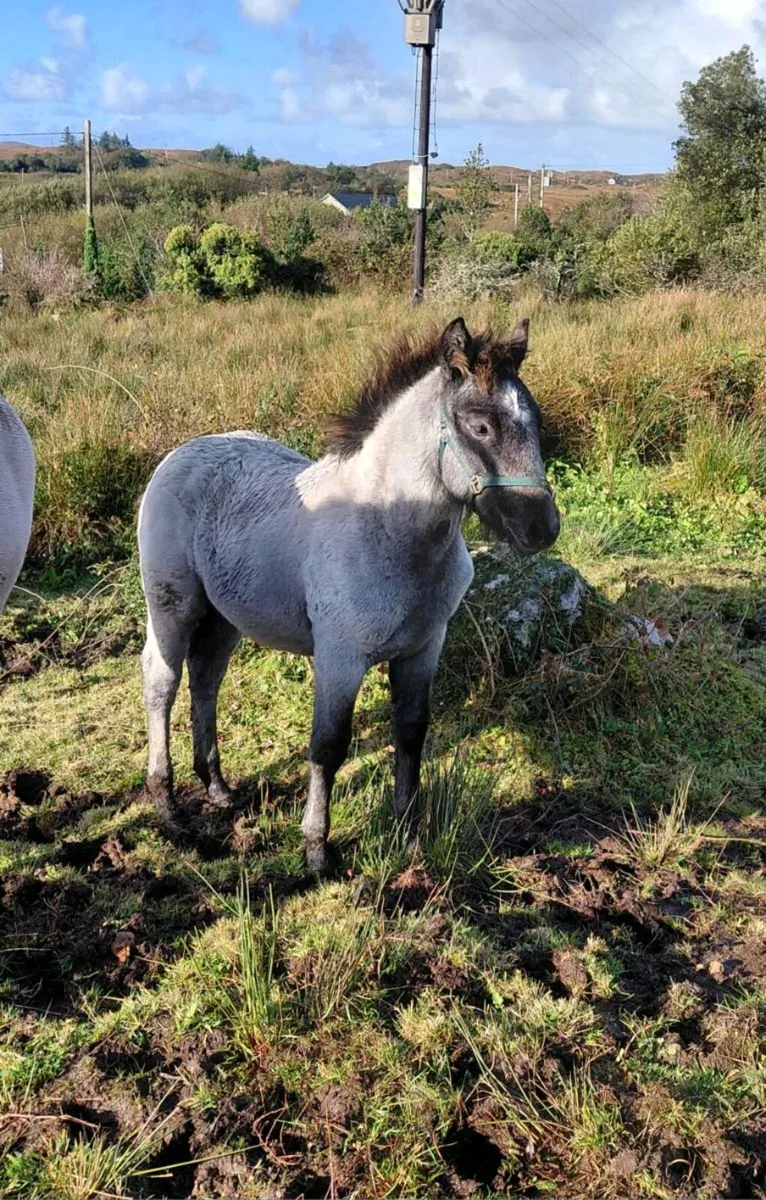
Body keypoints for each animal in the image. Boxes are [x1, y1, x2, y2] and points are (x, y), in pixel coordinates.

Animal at [138, 316, 559, 872]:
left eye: (533, 419)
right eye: (480, 426)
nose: (542, 528)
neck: (387, 529)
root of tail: (180, 454)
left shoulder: (424, 648)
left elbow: (411, 732)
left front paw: (407, 831)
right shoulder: (340, 656)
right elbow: (328, 746)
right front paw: (317, 850)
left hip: (225, 617)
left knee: (206, 679)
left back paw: (218, 788)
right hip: (174, 606)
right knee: (161, 683)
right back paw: (166, 804)